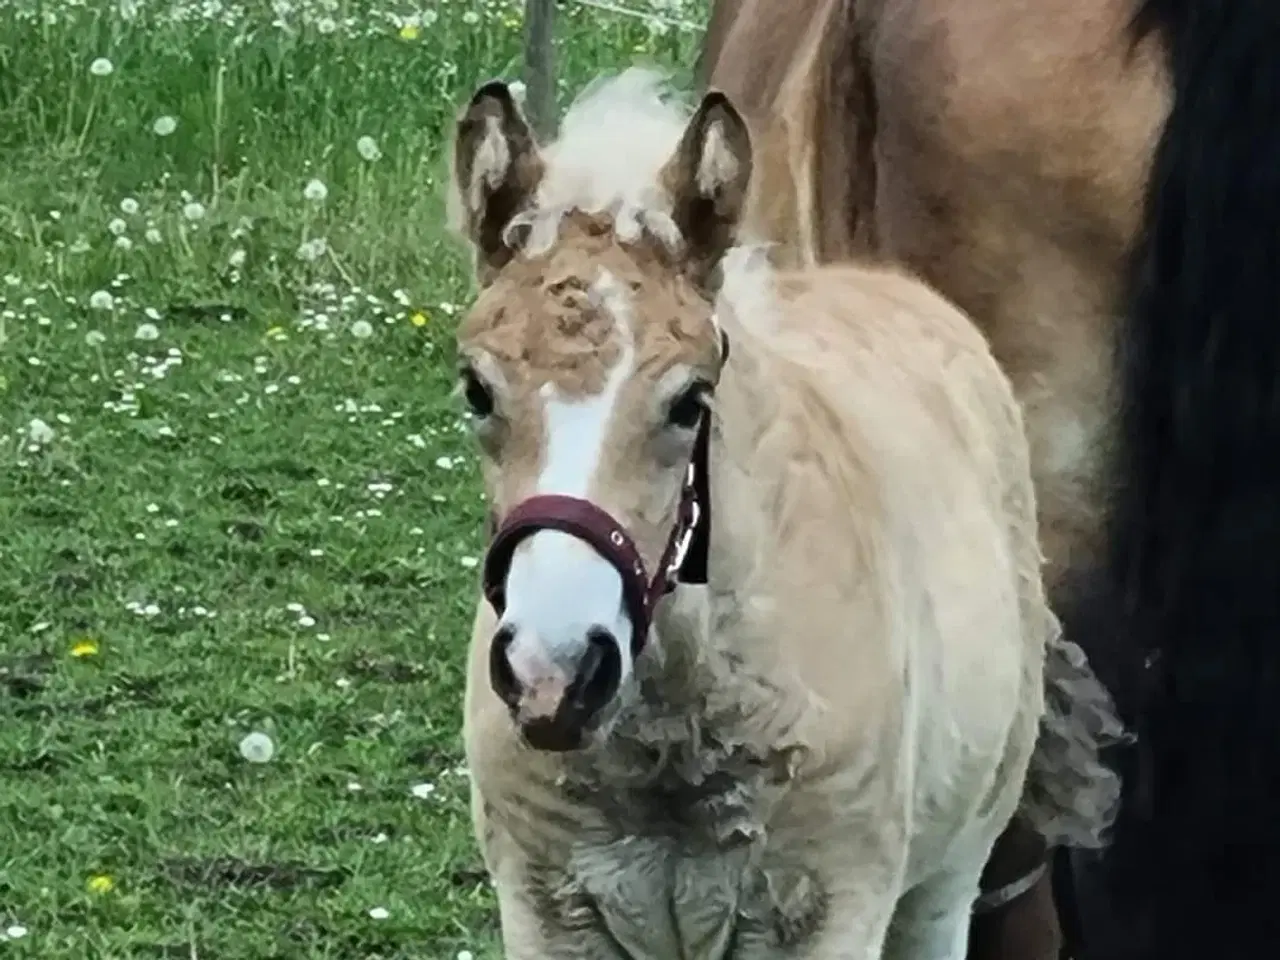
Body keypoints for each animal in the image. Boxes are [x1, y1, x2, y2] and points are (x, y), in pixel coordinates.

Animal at [450, 71, 1121, 957]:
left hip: (947, 879)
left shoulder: (835, 910)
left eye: (689, 401)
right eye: (476, 390)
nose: (552, 674)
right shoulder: (544, 910)